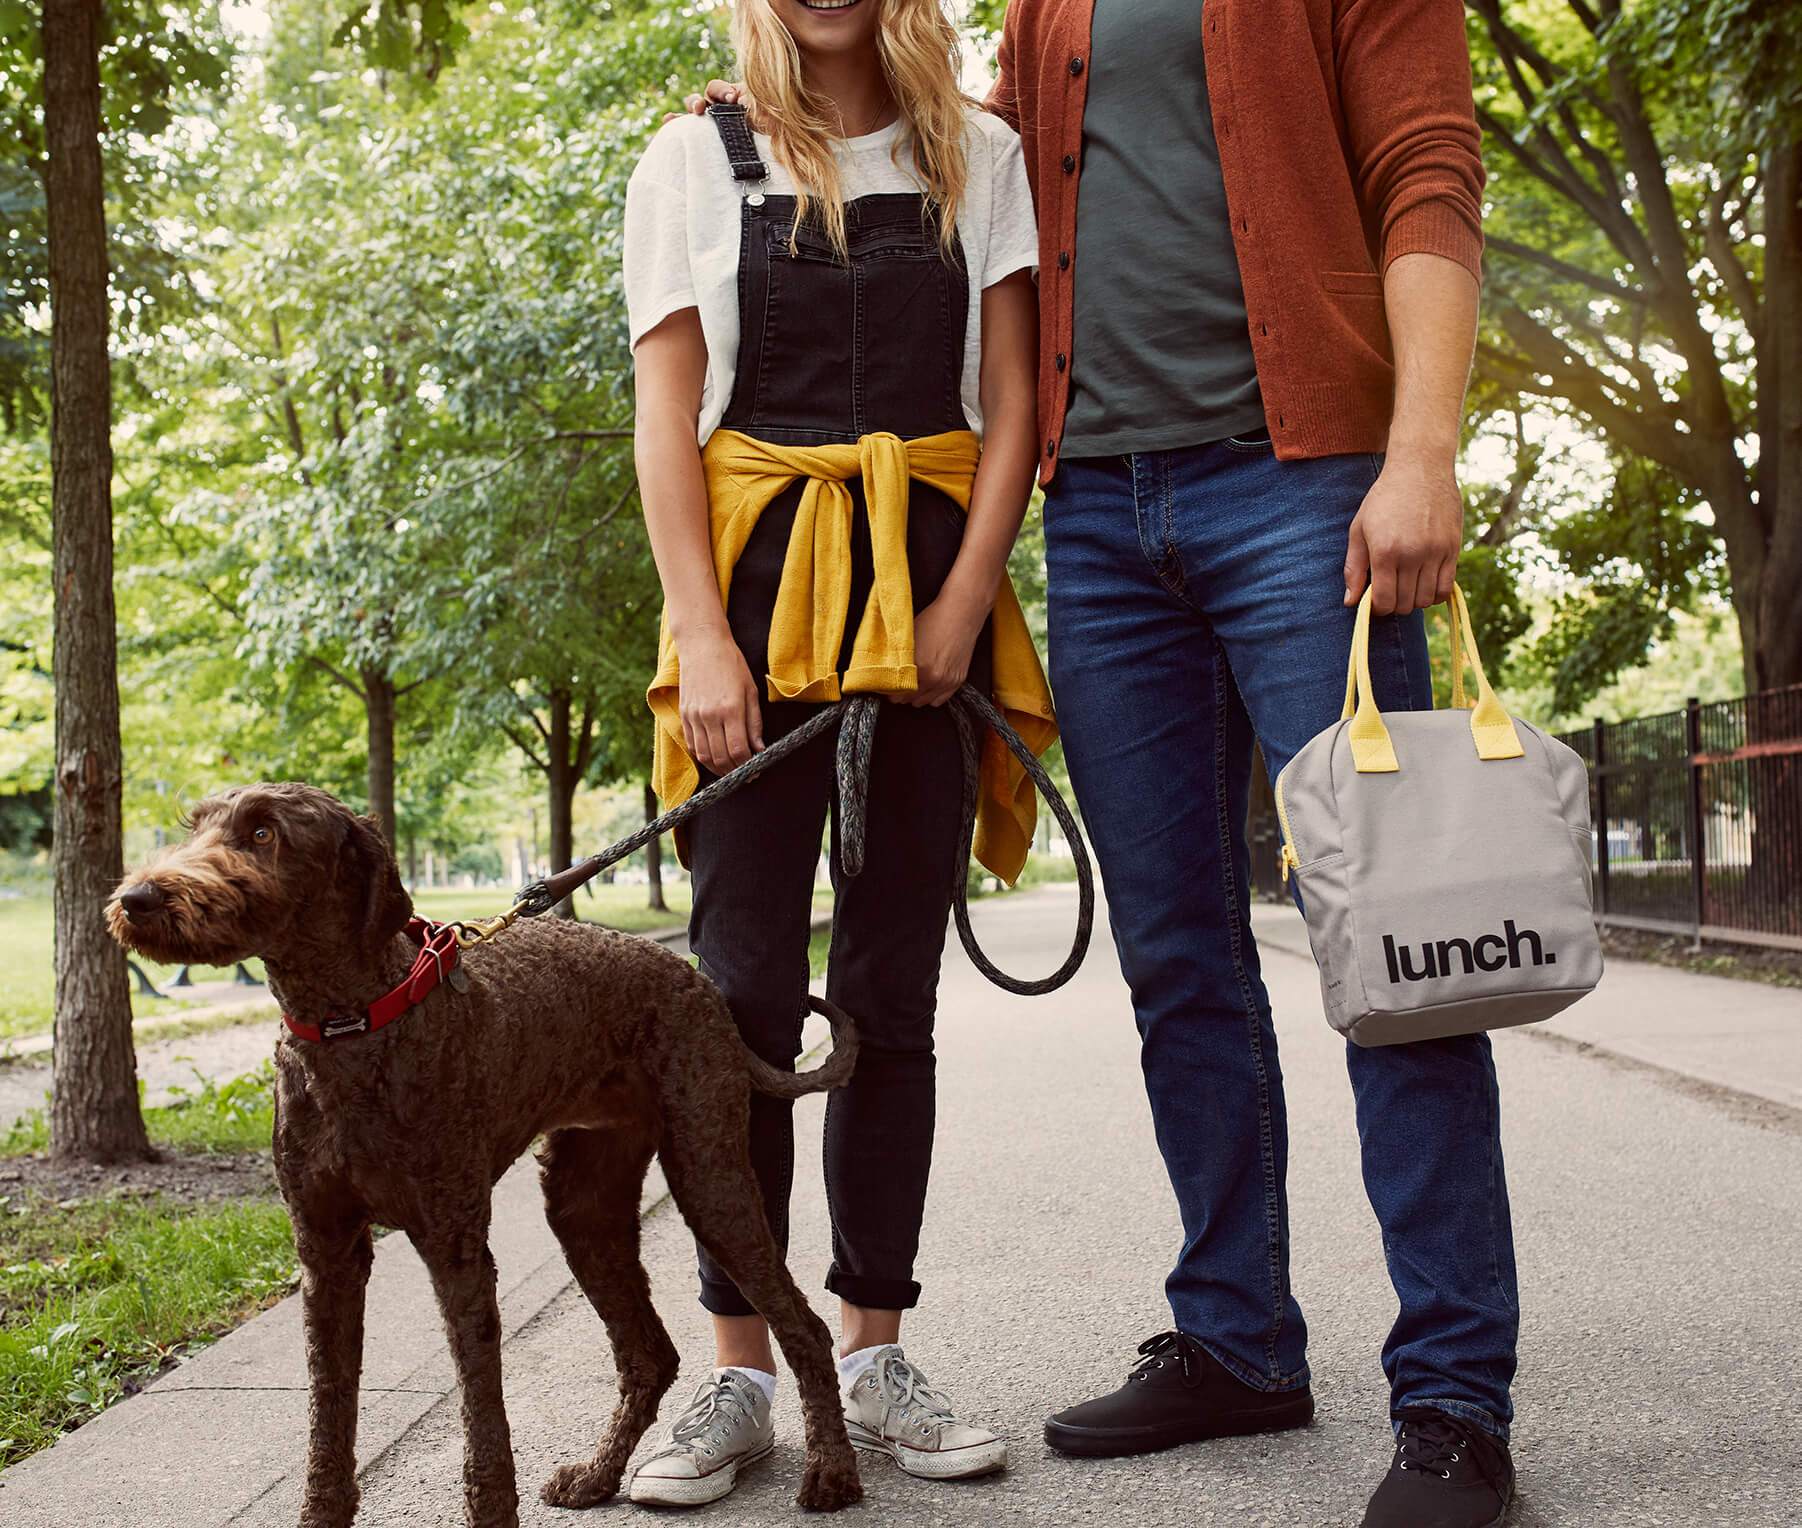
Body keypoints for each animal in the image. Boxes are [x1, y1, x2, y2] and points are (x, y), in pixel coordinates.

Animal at [107, 782, 864, 1520]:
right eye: (197, 825)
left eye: (264, 832)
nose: (135, 899)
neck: (358, 1025)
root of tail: (696, 983)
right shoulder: (326, 1254)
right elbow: (329, 1417)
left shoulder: (455, 1247)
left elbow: (482, 1419)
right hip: (585, 1207)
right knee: (650, 1355)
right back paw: (597, 1475)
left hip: (709, 1174)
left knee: (804, 1328)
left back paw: (832, 1473)